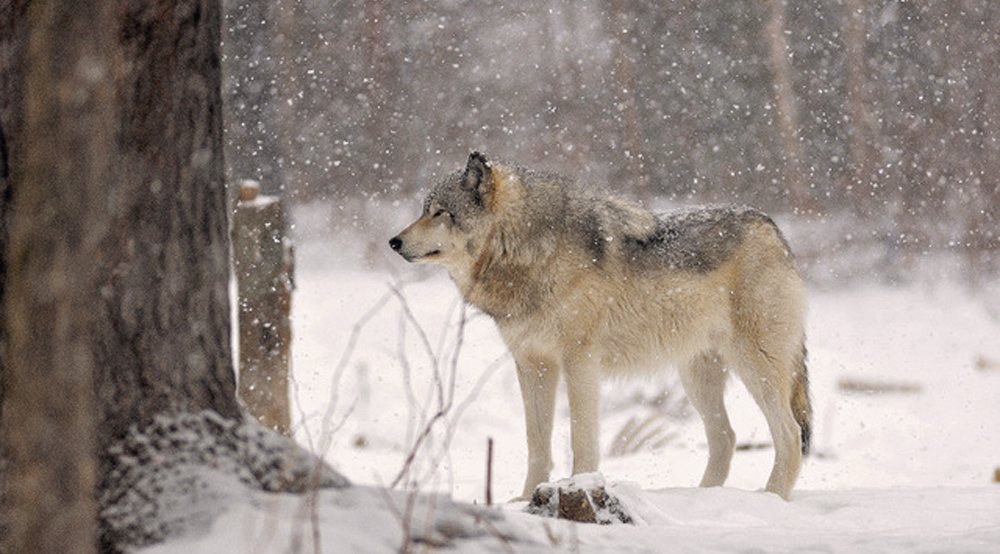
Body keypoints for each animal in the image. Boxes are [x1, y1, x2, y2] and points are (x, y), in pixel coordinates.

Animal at [389, 152, 811, 500]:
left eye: (440, 212)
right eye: (424, 209)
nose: (393, 241)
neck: (528, 251)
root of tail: (772, 226)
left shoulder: (580, 361)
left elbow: (581, 438)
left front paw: (581, 487)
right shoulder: (532, 364)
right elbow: (536, 443)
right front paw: (525, 500)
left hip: (755, 366)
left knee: (789, 434)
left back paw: (771, 498)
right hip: (697, 376)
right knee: (725, 437)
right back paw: (702, 499)